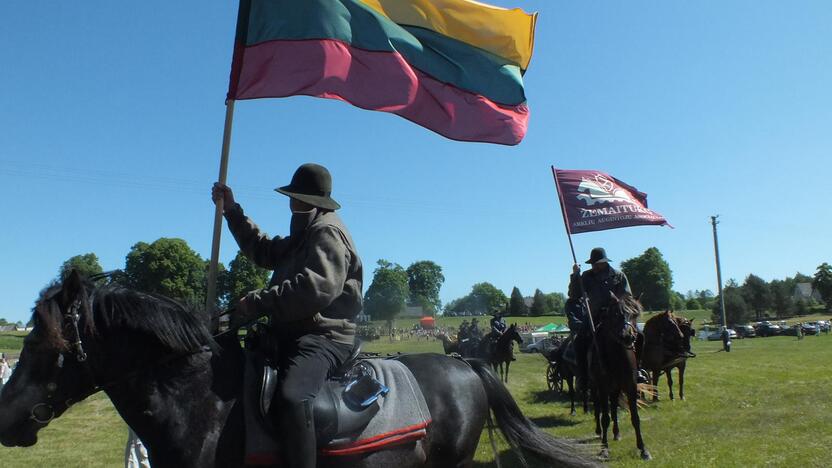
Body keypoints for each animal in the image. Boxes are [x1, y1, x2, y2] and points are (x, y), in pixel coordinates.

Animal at [588, 292, 652, 460]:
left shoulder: (631, 386)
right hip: (596, 387)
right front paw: (604, 449)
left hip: (616, 388)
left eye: (635, 314)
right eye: (616, 314)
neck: (617, 355)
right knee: (598, 409)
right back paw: (599, 432)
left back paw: (616, 433)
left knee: (614, 408)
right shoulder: (603, 388)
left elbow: (635, 418)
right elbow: (605, 417)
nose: (627, 337)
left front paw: (643, 449)